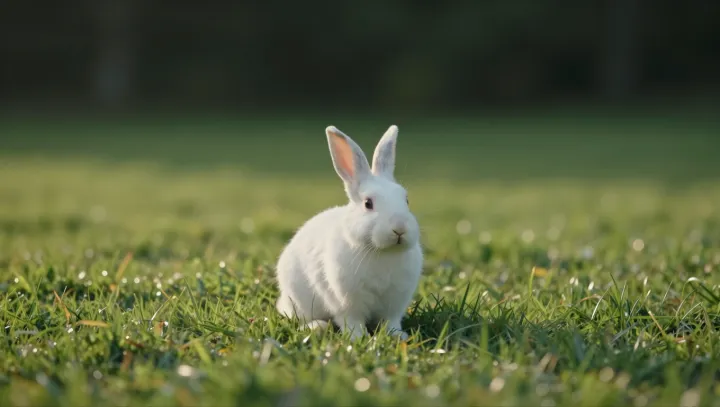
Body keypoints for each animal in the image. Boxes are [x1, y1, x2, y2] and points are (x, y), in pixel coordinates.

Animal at [274, 124, 423, 341]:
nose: (400, 228)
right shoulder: (347, 304)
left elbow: (391, 322)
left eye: (406, 200)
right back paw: (317, 326)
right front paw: (358, 338)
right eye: (368, 203)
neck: (380, 252)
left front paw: (398, 336)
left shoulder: (394, 304)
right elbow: (352, 322)